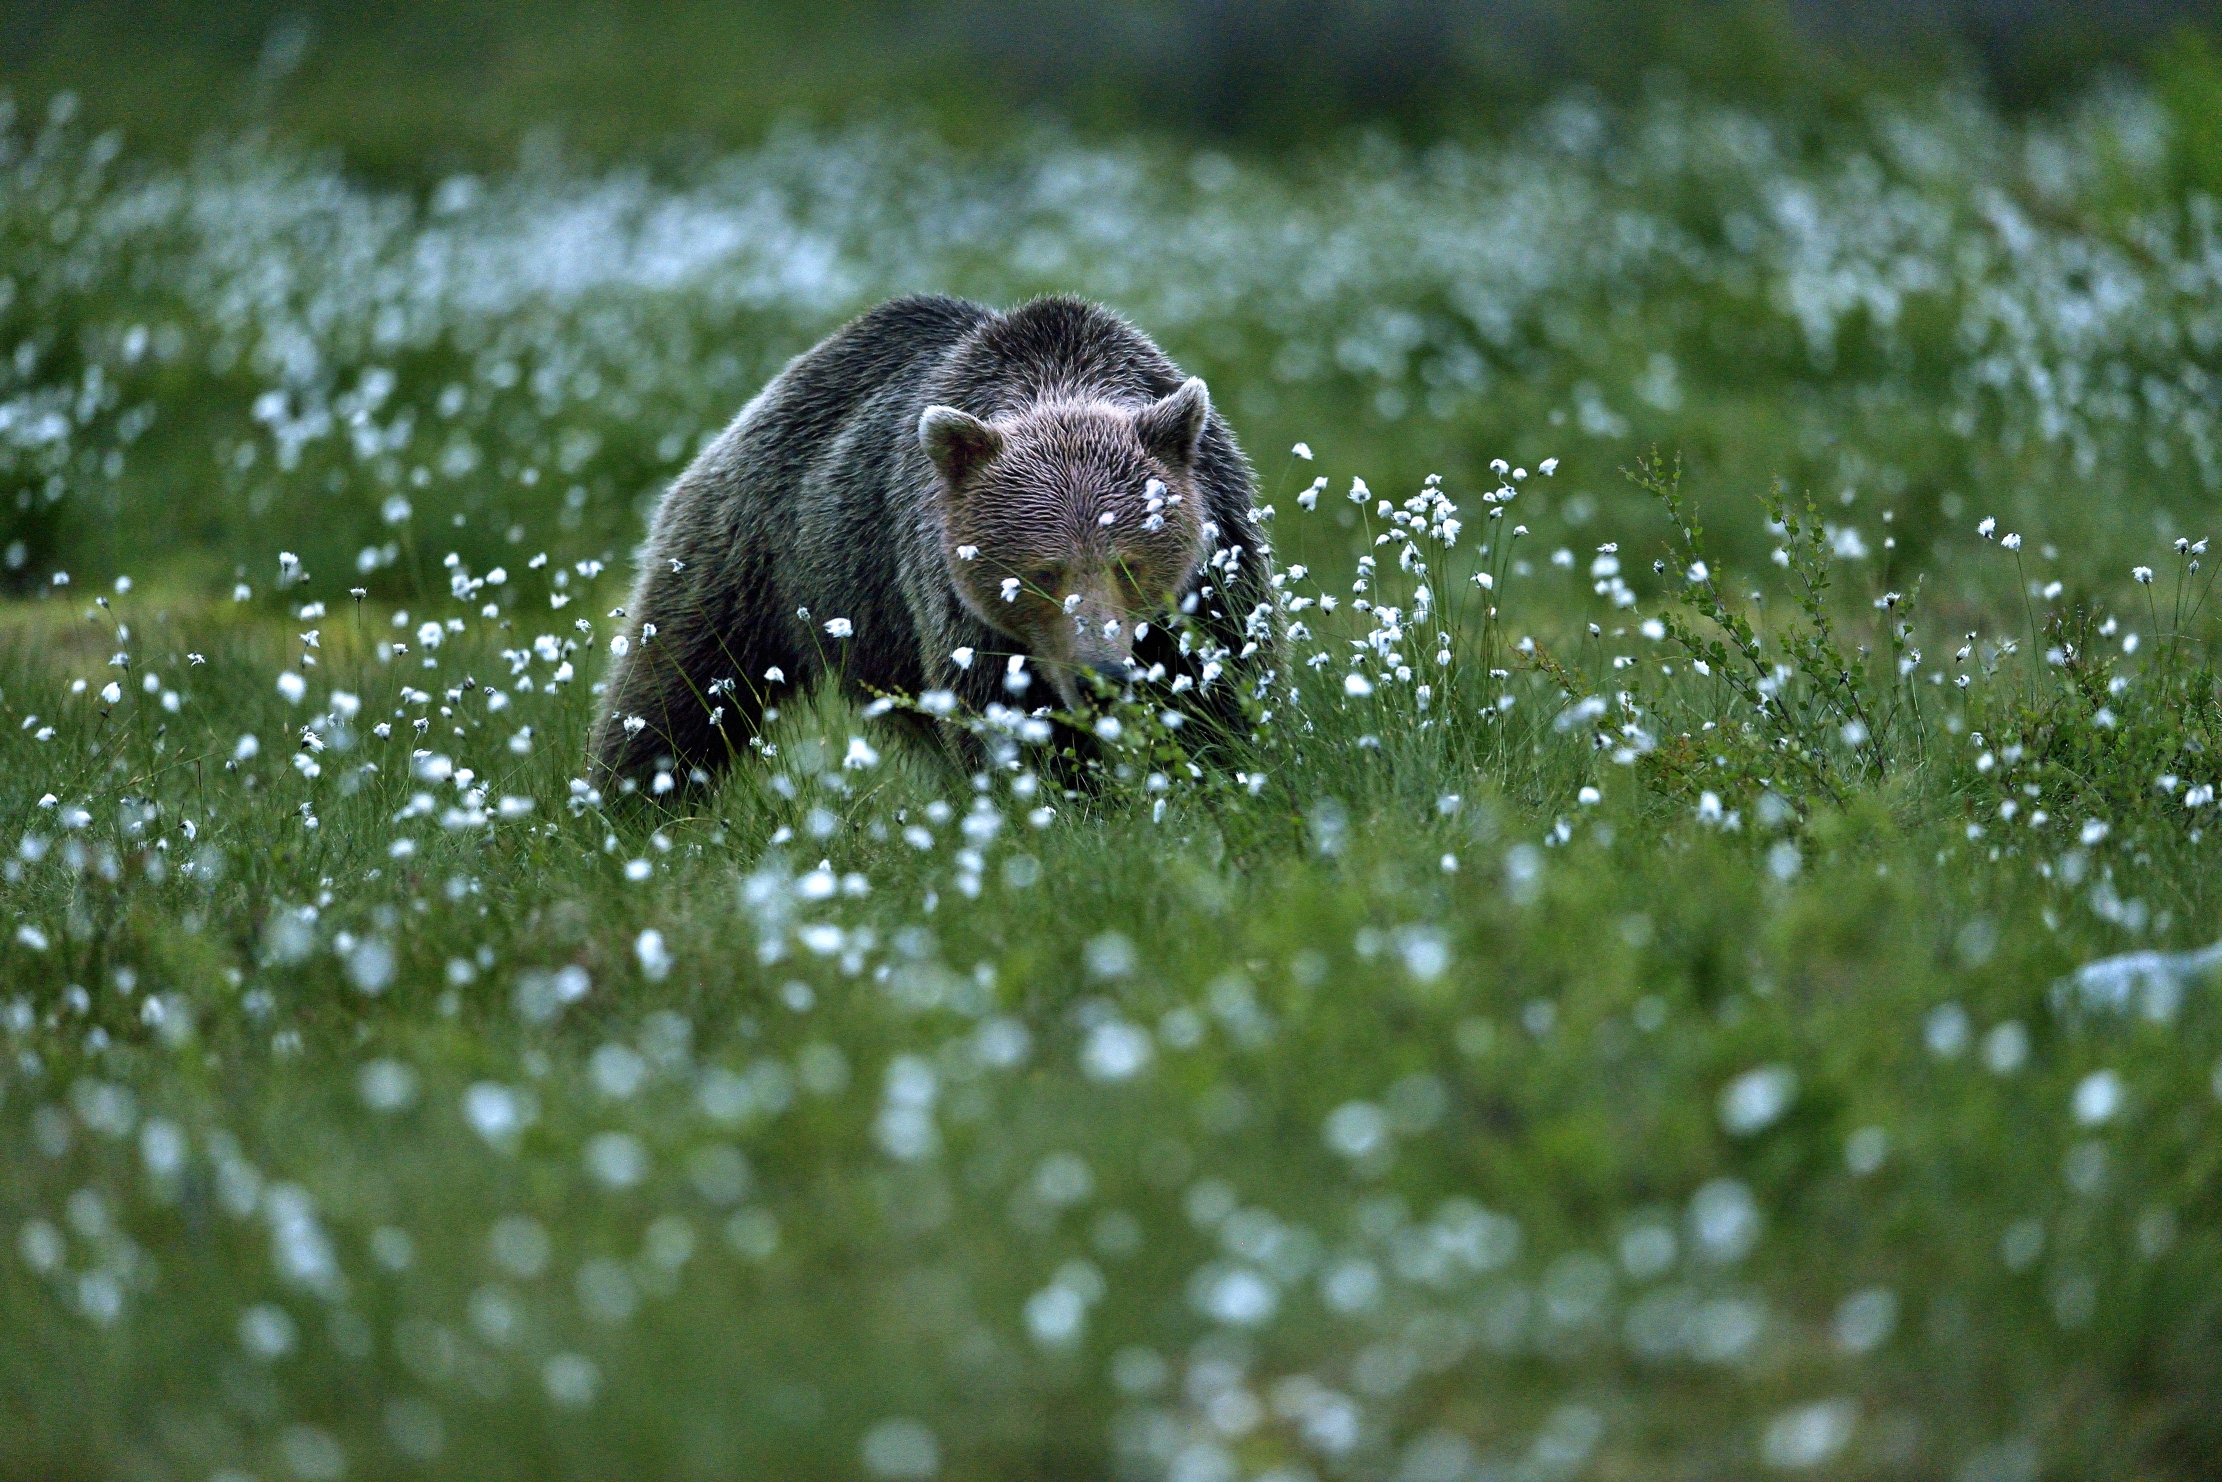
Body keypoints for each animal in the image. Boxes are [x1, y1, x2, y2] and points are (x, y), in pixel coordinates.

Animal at [588, 294, 1279, 793]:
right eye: (1041, 572)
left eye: (1128, 565)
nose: (1099, 676)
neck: (1059, 375)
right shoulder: (958, 603)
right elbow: (1007, 721)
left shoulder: (1215, 560)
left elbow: (1225, 681)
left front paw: (1226, 768)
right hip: (753, 559)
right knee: (675, 689)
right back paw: (622, 807)